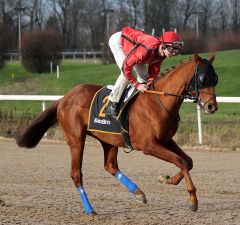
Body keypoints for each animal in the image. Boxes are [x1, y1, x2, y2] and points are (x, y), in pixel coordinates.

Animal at [15, 52, 219, 214]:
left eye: (215, 78)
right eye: (203, 79)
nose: (212, 107)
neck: (159, 101)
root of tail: (64, 98)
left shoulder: (166, 139)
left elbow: (188, 161)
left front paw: (166, 179)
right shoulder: (149, 145)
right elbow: (181, 161)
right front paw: (192, 200)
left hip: (109, 139)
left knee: (110, 166)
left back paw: (138, 192)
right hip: (76, 139)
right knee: (76, 173)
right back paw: (89, 209)